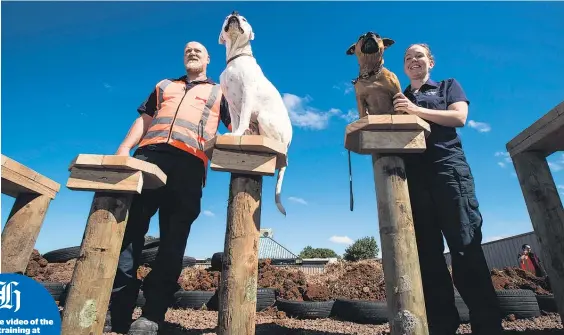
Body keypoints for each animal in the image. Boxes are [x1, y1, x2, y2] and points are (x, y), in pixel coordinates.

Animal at [218, 10, 294, 217]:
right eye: (226, 18)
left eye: (244, 19)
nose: (234, 12)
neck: (236, 59)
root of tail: (288, 144)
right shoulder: (230, 102)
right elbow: (236, 121)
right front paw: (235, 133)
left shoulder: (247, 93)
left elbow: (243, 118)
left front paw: (237, 134)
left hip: (263, 117)